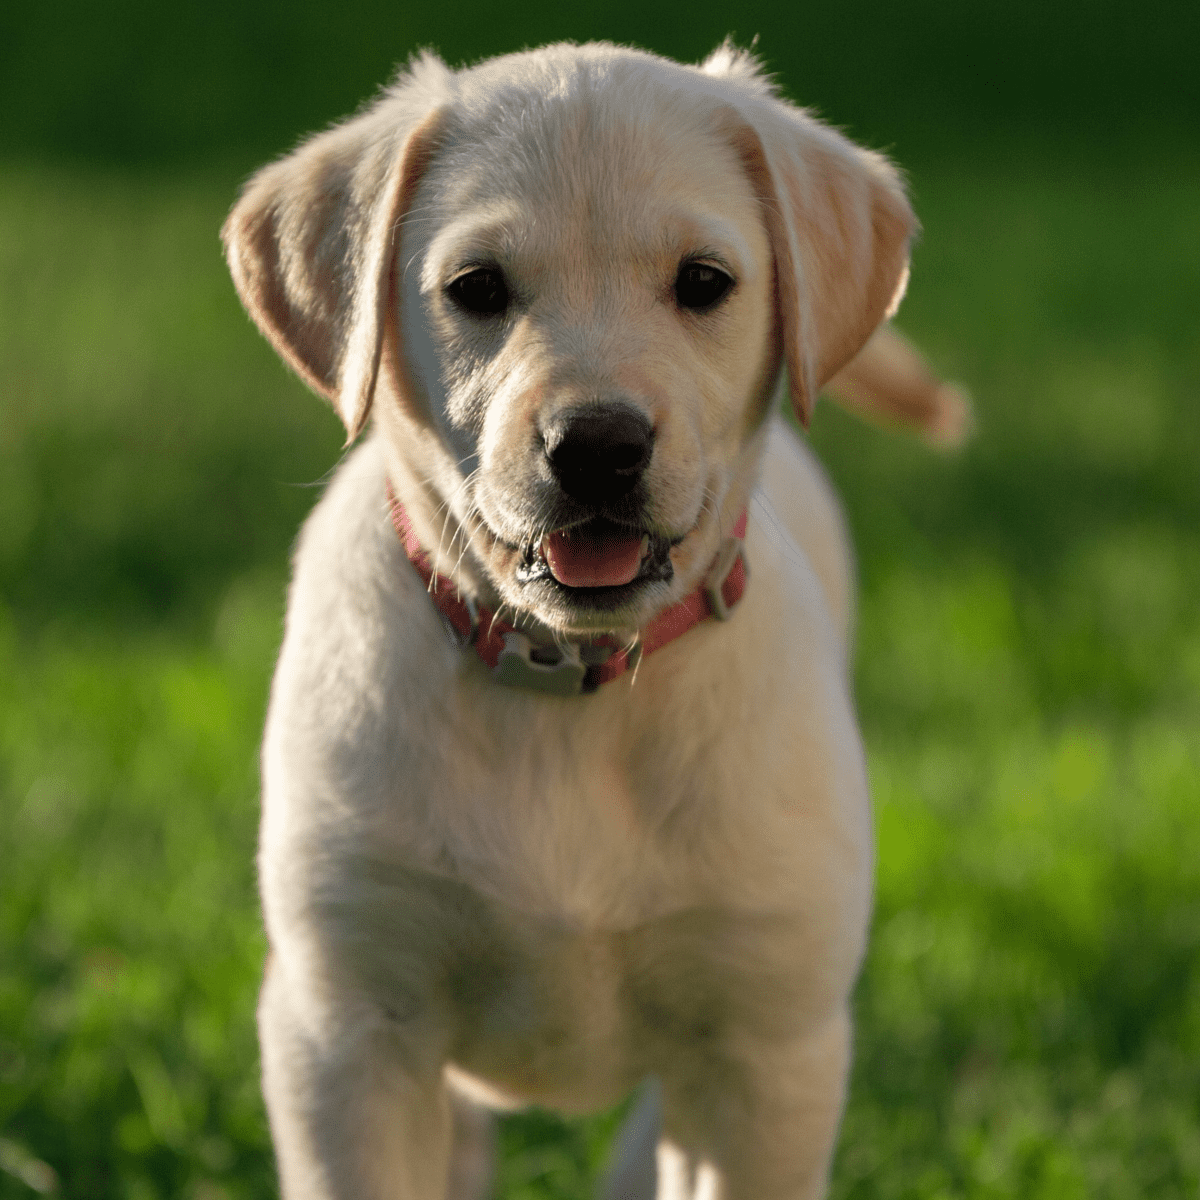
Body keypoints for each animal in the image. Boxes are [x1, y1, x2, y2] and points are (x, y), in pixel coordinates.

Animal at [226, 37, 964, 1200]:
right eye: (476, 289)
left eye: (704, 283)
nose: (599, 446)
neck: (569, 679)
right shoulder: (345, 1026)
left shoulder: (767, 1042)